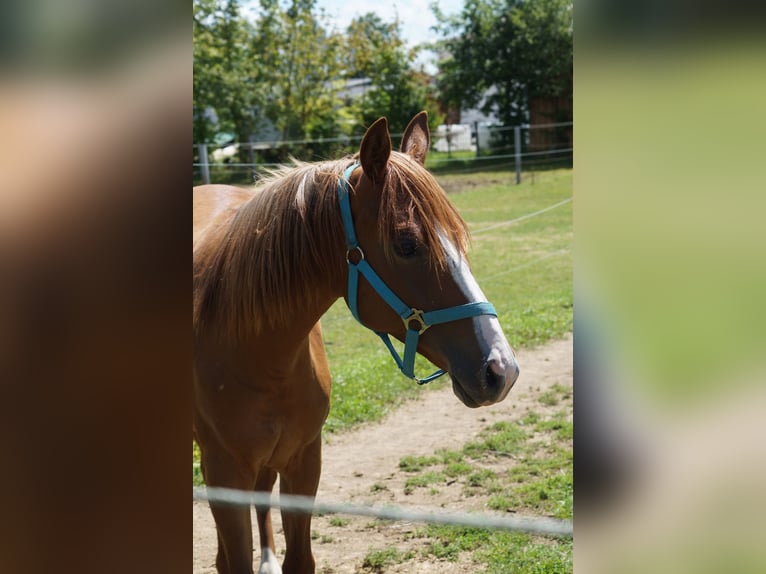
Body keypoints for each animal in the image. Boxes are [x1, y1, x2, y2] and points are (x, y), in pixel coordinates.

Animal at [194, 113, 520, 574]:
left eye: (459, 236)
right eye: (407, 244)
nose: (501, 369)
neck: (260, 354)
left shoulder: (304, 458)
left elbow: (300, 558)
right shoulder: (224, 474)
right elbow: (230, 560)